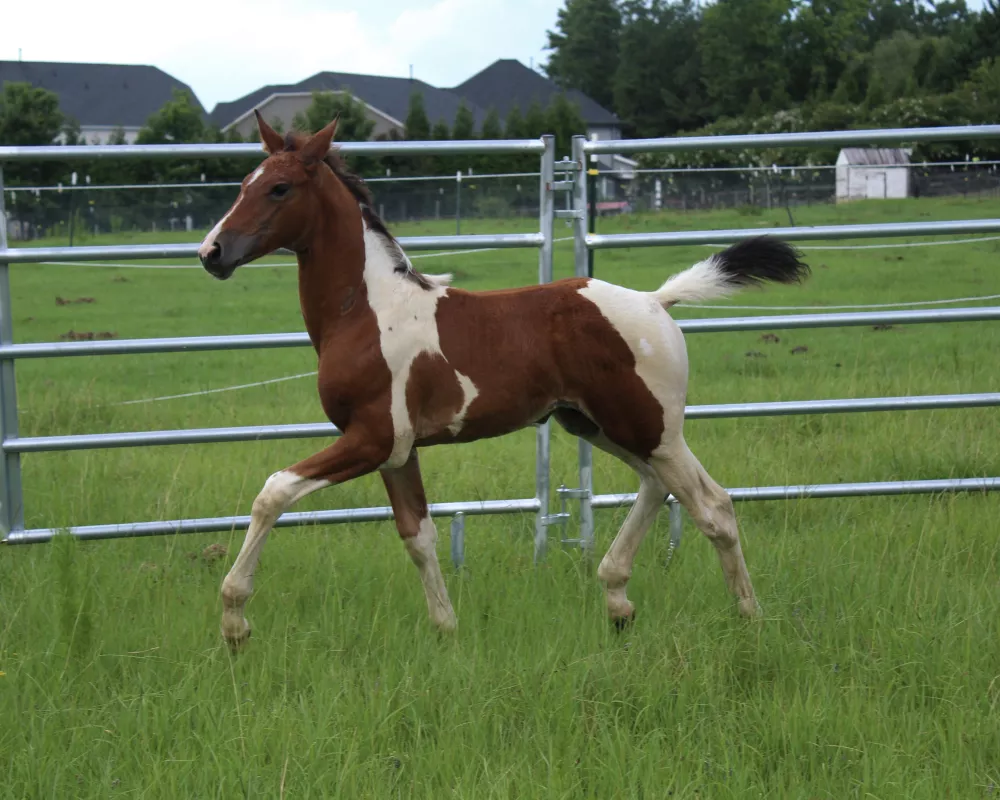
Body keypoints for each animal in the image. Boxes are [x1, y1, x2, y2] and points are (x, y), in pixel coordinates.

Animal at [199, 112, 808, 648]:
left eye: (279, 188)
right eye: (244, 183)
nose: (211, 253)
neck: (366, 312)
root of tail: (656, 301)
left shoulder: (372, 438)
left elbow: (273, 492)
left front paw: (234, 622)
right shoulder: (397, 451)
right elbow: (418, 536)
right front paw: (447, 630)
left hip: (651, 429)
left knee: (713, 506)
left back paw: (749, 619)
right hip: (597, 425)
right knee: (660, 488)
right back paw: (618, 602)